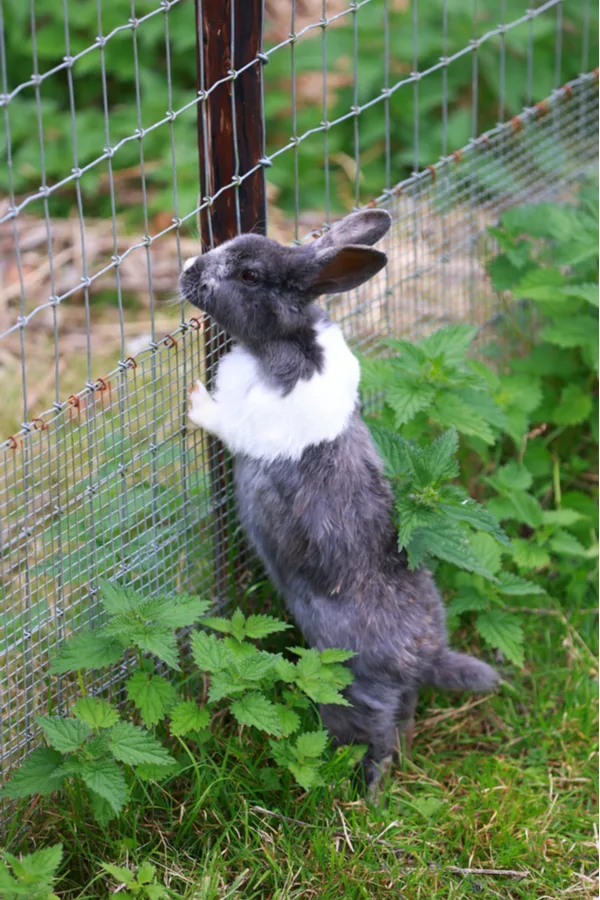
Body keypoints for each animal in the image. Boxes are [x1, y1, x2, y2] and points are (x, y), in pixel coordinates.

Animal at [180, 211, 500, 796]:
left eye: (250, 275)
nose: (189, 269)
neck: (288, 341)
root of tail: (426, 659)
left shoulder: (246, 424)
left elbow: (221, 420)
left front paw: (194, 399)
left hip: (353, 694)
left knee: (375, 736)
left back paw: (364, 790)